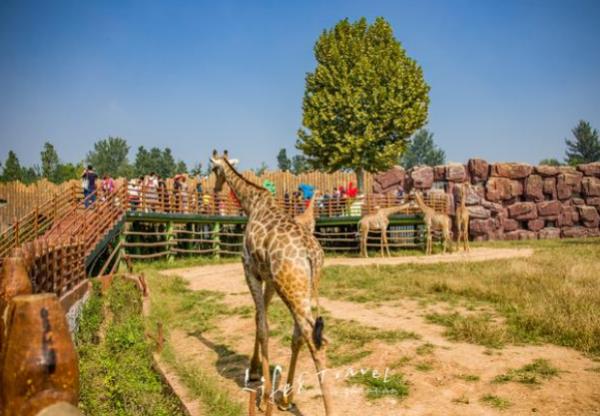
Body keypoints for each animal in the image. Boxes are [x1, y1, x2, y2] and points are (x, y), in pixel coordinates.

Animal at [209, 151, 336, 414]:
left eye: (214, 169)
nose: (215, 189)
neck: (252, 203)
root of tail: (311, 254)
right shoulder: (267, 277)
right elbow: (260, 318)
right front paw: (256, 371)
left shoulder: (249, 269)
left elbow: (263, 326)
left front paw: (264, 394)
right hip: (304, 287)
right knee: (302, 335)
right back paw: (286, 398)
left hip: (290, 288)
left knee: (313, 339)